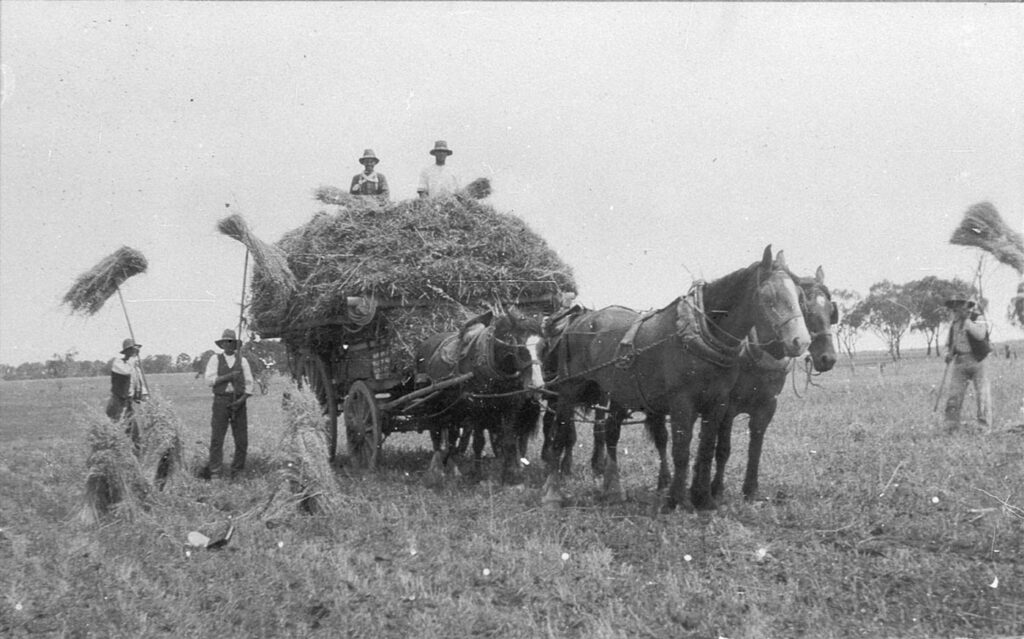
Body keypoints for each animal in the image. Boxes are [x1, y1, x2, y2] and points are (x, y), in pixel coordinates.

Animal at [415, 307, 544, 481]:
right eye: (521, 348)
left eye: (543, 347)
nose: (537, 385)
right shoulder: (477, 409)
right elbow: (479, 442)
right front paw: (478, 474)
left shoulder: (510, 407)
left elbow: (508, 440)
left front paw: (510, 474)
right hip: (433, 406)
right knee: (436, 434)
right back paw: (438, 469)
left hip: (454, 409)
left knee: (452, 436)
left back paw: (453, 467)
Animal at [540, 246, 811, 512]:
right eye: (769, 298)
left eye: (799, 296)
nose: (801, 341)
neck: (698, 333)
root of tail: (578, 320)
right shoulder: (682, 403)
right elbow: (681, 450)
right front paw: (675, 499)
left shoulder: (718, 404)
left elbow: (706, 448)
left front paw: (704, 499)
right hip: (568, 392)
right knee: (560, 435)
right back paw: (552, 493)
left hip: (616, 394)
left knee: (611, 435)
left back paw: (613, 490)